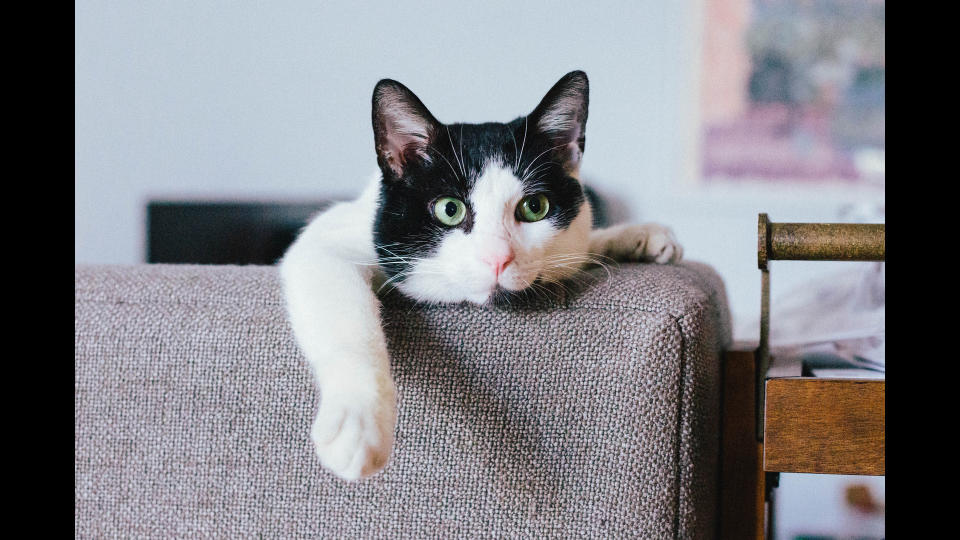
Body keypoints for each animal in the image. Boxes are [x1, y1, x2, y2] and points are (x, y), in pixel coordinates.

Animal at [278, 71, 684, 480]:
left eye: (535, 207)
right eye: (450, 209)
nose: (498, 258)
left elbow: (580, 249)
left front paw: (639, 236)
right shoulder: (326, 241)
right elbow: (346, 316)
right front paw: (358, 424)